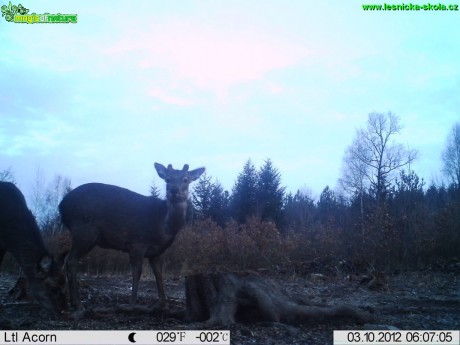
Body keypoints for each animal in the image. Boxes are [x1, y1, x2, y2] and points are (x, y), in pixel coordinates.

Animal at [59, 161, 205, 310]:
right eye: (168, 179)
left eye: (185, 179)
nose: (174, 190)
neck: (164, 225)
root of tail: (61, 206)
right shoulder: (137, 242)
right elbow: (137, 272)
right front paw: (131, 303)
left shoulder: (156, 251)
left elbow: (158, 274)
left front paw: (162, 304)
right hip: (84, 231)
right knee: (70, 260)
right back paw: (77, 303)